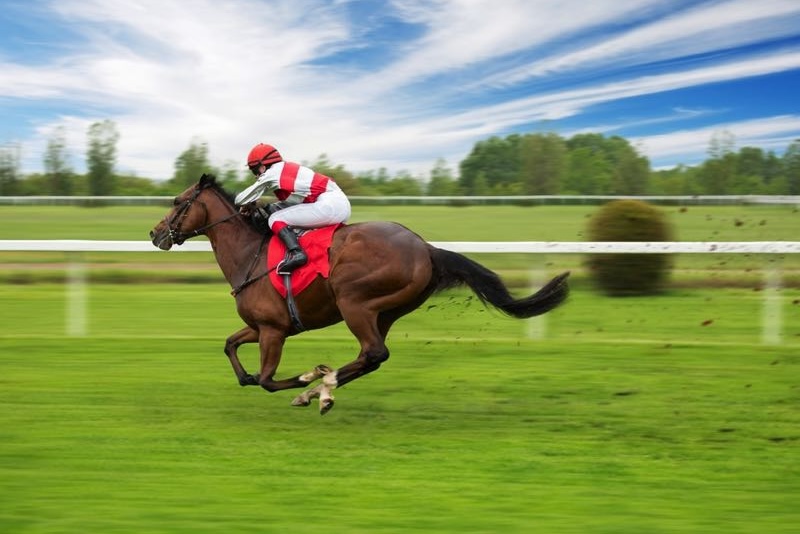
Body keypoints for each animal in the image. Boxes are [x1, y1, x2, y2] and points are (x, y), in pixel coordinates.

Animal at [149, 174, 569, 414]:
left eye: (177, 202)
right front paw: (281, 382)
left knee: (373, 352)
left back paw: (319, 388)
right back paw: (323, 389)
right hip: (386, 311)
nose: (155, 233)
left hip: (355, 302)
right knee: (372, 357)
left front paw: (304, 381)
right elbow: (231, 347)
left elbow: (267, 379)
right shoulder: (262, 325)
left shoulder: (273, 330)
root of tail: (426, 248)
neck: (249, 254)